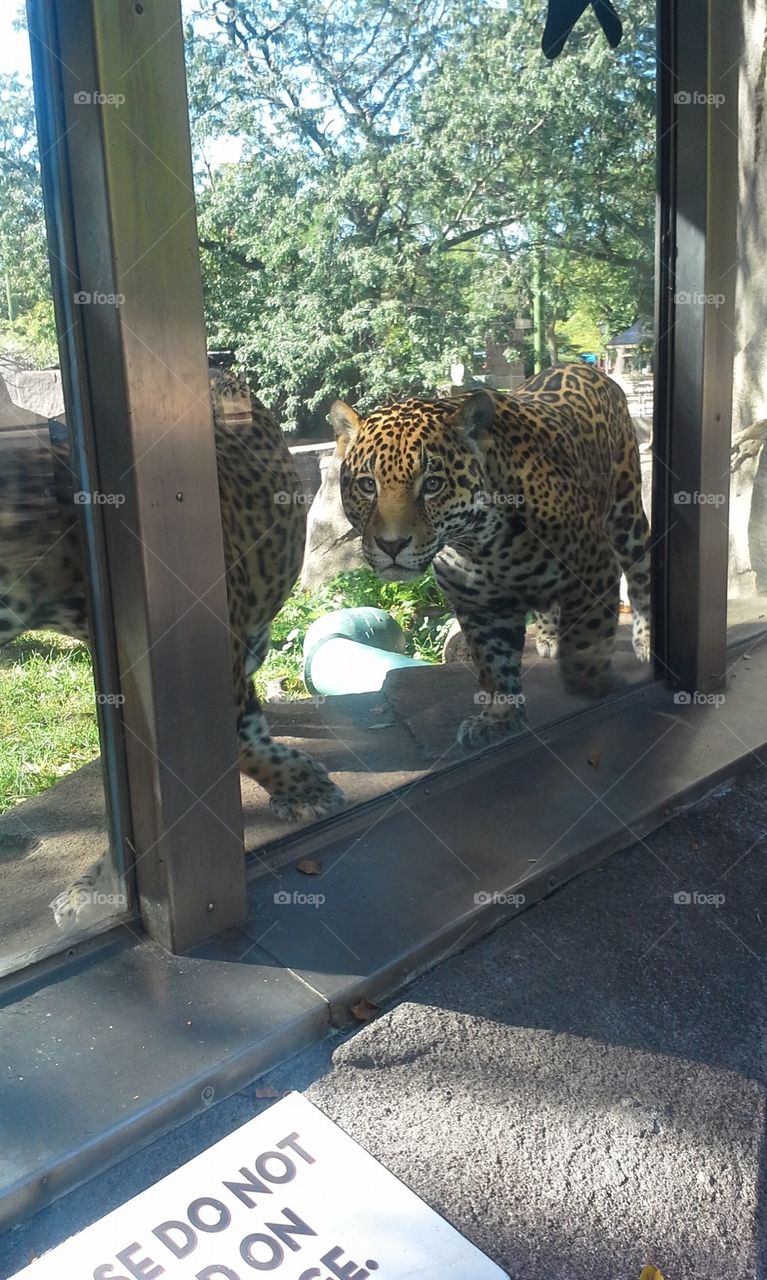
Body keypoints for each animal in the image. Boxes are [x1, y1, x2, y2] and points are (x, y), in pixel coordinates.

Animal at [330, 363, 651, 750]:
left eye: (432, 484)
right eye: (367, 484)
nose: (391, 544)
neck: (478, 543)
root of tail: (584, 366)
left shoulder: (595, 567)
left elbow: (587, 641)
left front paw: (598, 687)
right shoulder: (477, 606)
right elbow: (494, 666)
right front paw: (500, 717)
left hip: (626, 515)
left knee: (641, 574)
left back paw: (646, 642)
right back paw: (548, 637)